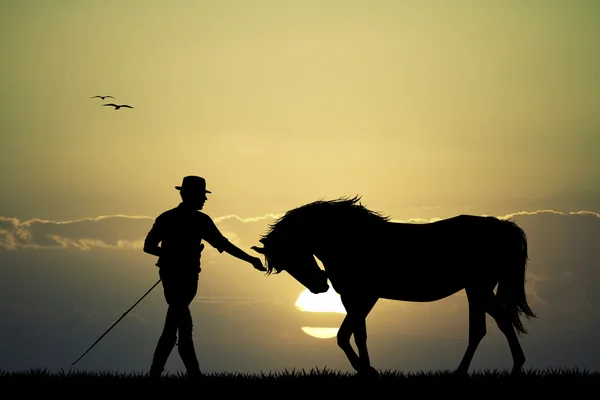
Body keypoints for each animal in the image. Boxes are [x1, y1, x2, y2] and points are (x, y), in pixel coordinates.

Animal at [251, 198, 536, 378]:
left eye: (293, 254)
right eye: (284, 265)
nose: (319, 287)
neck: (349, 239)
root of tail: (502, 226)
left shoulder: (366, 296)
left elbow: (345, 335)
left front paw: (366, 370)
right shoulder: (353, 299)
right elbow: (357, 334)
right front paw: (366, 370)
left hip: (479, 288)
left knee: (495, 324)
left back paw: (507, 368)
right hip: (476, 289)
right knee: (486, 327)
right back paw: (475, 371)